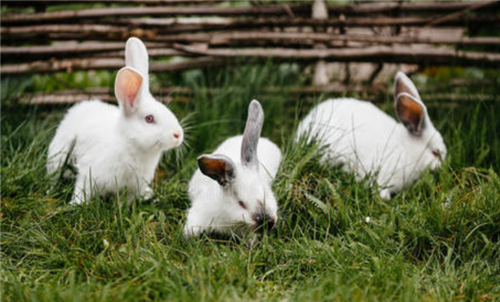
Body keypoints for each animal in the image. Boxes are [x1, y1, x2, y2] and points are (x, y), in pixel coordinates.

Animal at [46, 36, 184, 204]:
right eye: (149, 119)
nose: (178, 134)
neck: (130, 144)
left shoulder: (132, 188)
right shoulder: (88, 174)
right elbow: (82, 191)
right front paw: (75, 204)